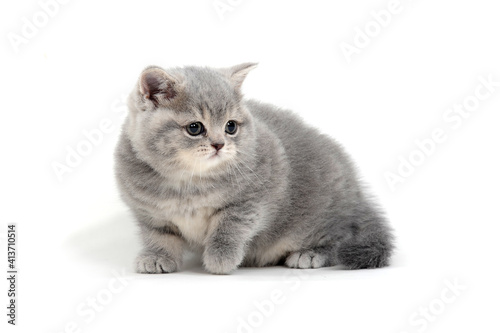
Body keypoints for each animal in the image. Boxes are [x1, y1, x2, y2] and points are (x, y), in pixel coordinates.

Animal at [114, 63, 394, 274]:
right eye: (195, 128)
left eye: (230, 126)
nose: (219, 144)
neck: (188, 182)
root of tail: (357, 192)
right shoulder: (149, 213)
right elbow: (158, 236)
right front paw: (156, 257)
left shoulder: (253, 199)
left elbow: (229, 228)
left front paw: (220, 259)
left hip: (318, 215)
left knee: (340, 236)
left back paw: (310, 253)